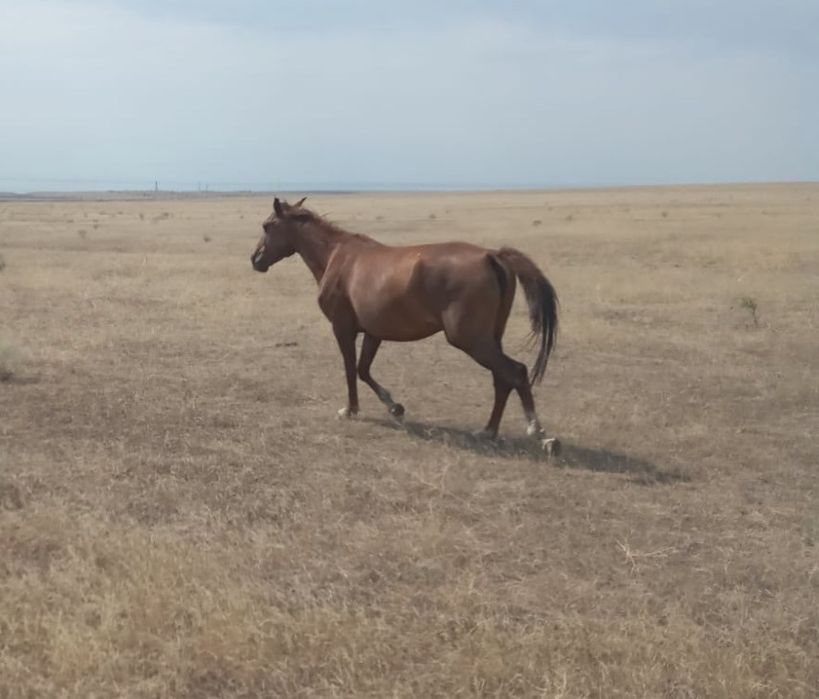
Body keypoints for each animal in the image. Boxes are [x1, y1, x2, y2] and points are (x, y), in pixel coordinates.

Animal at [250, 197, 561, 455]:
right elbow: (364, 370)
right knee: (502, 379)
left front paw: (351, 410)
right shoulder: (373, 333)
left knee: (515, 372)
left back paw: (539, 433)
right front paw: (394, 406)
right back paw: (488, 431)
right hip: (489, 338)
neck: (337, 257)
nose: (255, 259)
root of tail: (491, 255)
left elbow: (350, 369)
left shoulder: (343, 328)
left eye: (268, 225)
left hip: (471, 340)